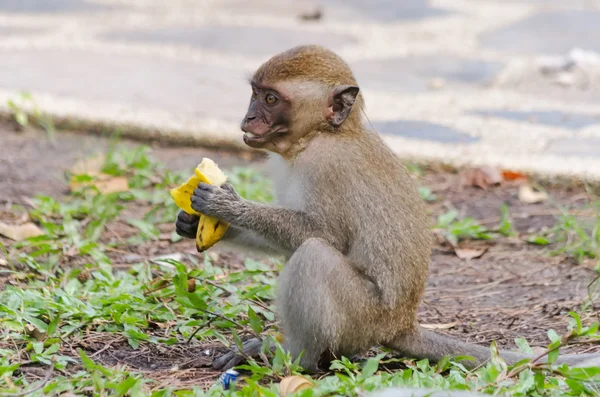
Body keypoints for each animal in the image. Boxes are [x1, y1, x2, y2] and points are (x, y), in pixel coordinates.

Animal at [176, 44, 600, 372]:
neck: (319, 135)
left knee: (314, 256)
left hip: (362, 318)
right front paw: (195, 223)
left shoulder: (327, 166)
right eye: (255, 93)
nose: (247, 118)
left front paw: (226, 206)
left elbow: (322, 235)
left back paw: (294, 358)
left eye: (270, 99)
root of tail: (400, 324)